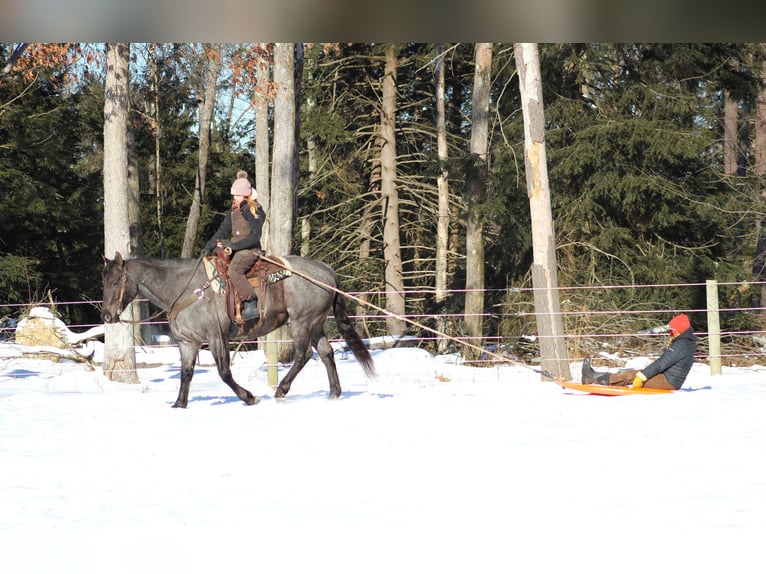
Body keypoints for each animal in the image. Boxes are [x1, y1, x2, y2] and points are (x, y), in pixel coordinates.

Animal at [100, 252, 376, 410]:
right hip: (315, 323)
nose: (106, 316)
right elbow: (186, 374)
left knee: (303, 355)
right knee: (327, 353)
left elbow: (224, 372)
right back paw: (334, 394)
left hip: (301, 322)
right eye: (104, 281)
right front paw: (179, 404)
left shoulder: (215, 337)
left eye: (115, 281)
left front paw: (248, 397)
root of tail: (326, 271)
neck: (184, 289)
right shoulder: (187, 343)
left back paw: (281, 390)